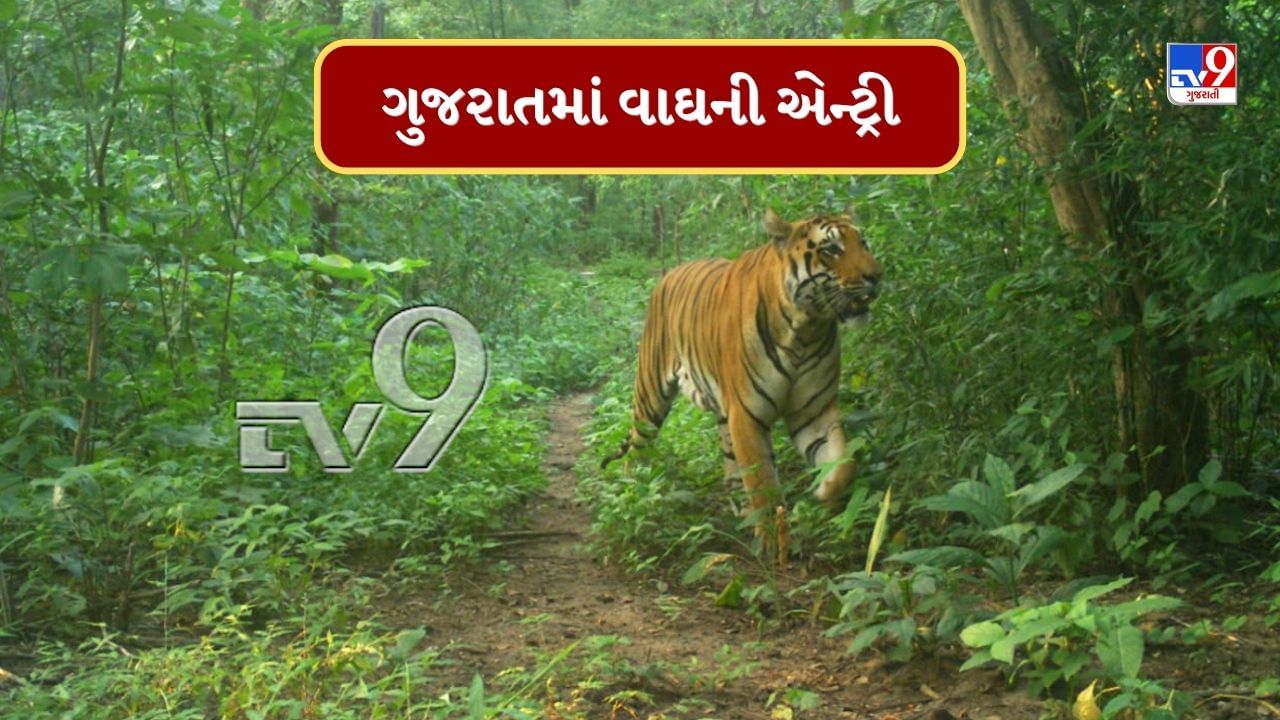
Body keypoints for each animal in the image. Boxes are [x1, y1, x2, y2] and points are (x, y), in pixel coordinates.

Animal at [603, 207, 883, 526]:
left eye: (863, 243)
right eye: (832, 249)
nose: (877, 276)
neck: (805, 329)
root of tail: (667, 274)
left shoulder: (814, 412)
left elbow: (844, 464)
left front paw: (824, 493)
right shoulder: (747, 416)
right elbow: (766, 495)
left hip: (723, 410)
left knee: (728, 461)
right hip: (650, 396)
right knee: (636, 449)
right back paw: (633, 496)